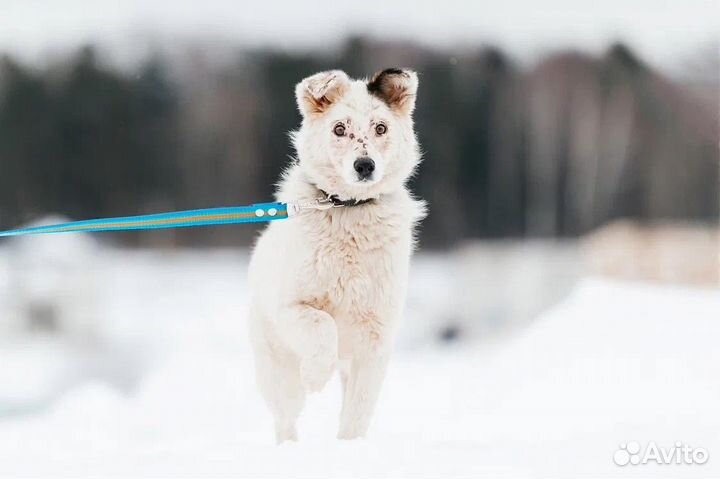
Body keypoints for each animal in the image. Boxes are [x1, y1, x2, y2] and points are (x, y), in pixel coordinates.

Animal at [249, 67, 424, 442]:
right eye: (339, 128)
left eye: (381, 128)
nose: (364, 165)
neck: (348, 210)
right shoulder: (291, 308)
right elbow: (323, 324)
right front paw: (316, 374)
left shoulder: (376, 340)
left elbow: (357, 412)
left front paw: (349, 445)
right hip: (277, 370)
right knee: (285, 417)